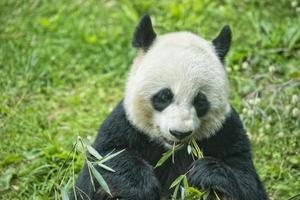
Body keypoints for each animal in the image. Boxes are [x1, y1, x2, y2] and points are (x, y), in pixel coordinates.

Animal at [69, 14, 268, 200]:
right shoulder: (125, 124)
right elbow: (100, 166)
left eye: (200, 101)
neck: (171, 150)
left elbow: (247, 182)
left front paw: (206, 172)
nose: (179, 133)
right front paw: (142, 185)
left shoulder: (226, 131)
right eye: (164, 96)